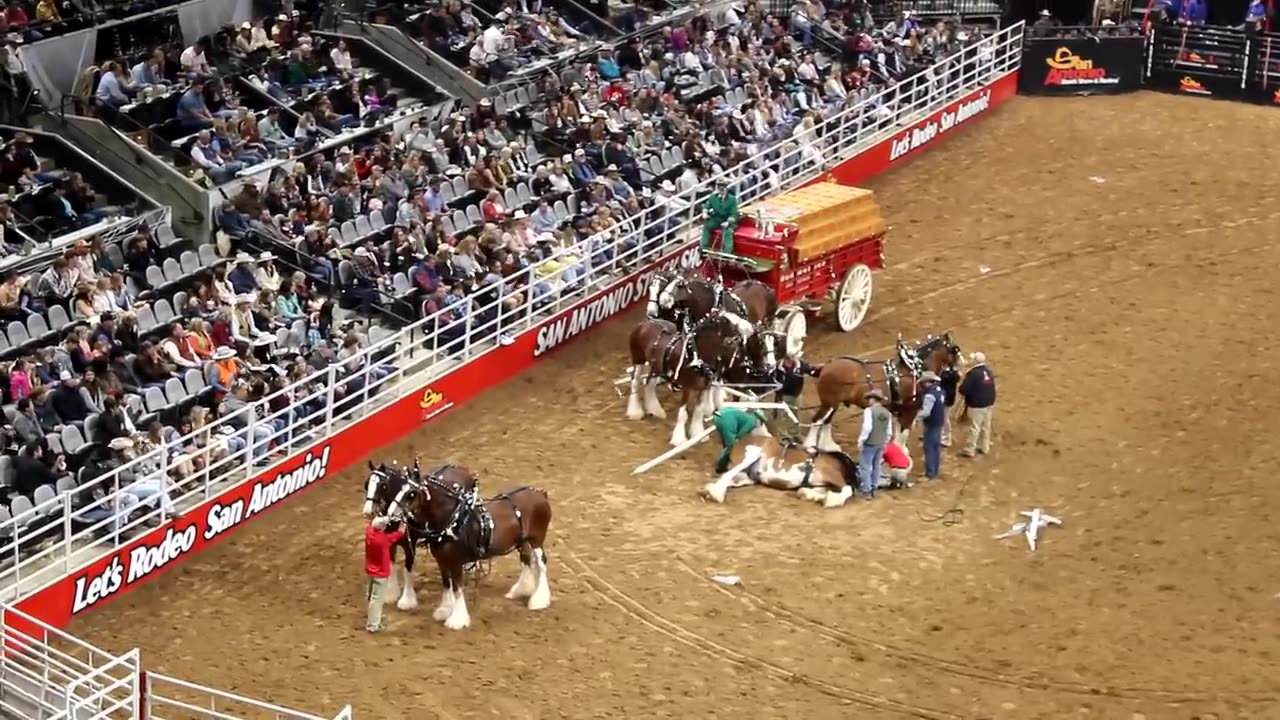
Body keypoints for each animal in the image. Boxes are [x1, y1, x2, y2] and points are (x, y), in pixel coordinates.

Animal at [384, 458, 555, 627]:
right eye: (397, 489)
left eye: (411, 494)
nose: (390, 514)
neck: (452, 520)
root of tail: (540, 494)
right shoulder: (442, 560)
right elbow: (447, 584)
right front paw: (445, 610)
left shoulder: (455, 563)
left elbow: (457, 588)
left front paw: (457, 620)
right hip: (522, 540)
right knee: (526, 559)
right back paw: (521, 590)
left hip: (537, 539)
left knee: (541, 564)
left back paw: (539, 600)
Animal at [622, 312, 773, 443]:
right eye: (730, 323)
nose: (750, 327)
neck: (695, 357)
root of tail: (644, 323)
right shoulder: (687, 388)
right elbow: (683, 413)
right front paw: (679, 439)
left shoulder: (703, 387)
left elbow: (698, 411)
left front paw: (698, 434)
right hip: (638, 360)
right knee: (635, 382)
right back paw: (635, 412)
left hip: (656, 367)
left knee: (649, 384)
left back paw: (655, 410)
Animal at [798, 330, 962, 448]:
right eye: (955, 350)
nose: (959, 371)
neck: (913, 370)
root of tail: (826, 366)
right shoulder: (910, 411)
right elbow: (903, 435)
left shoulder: (902, 410)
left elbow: (899, 434)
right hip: (829, 403)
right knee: (818, 420)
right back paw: (810, 446)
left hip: (833, 404)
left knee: (825, 422)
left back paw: (829, 447)